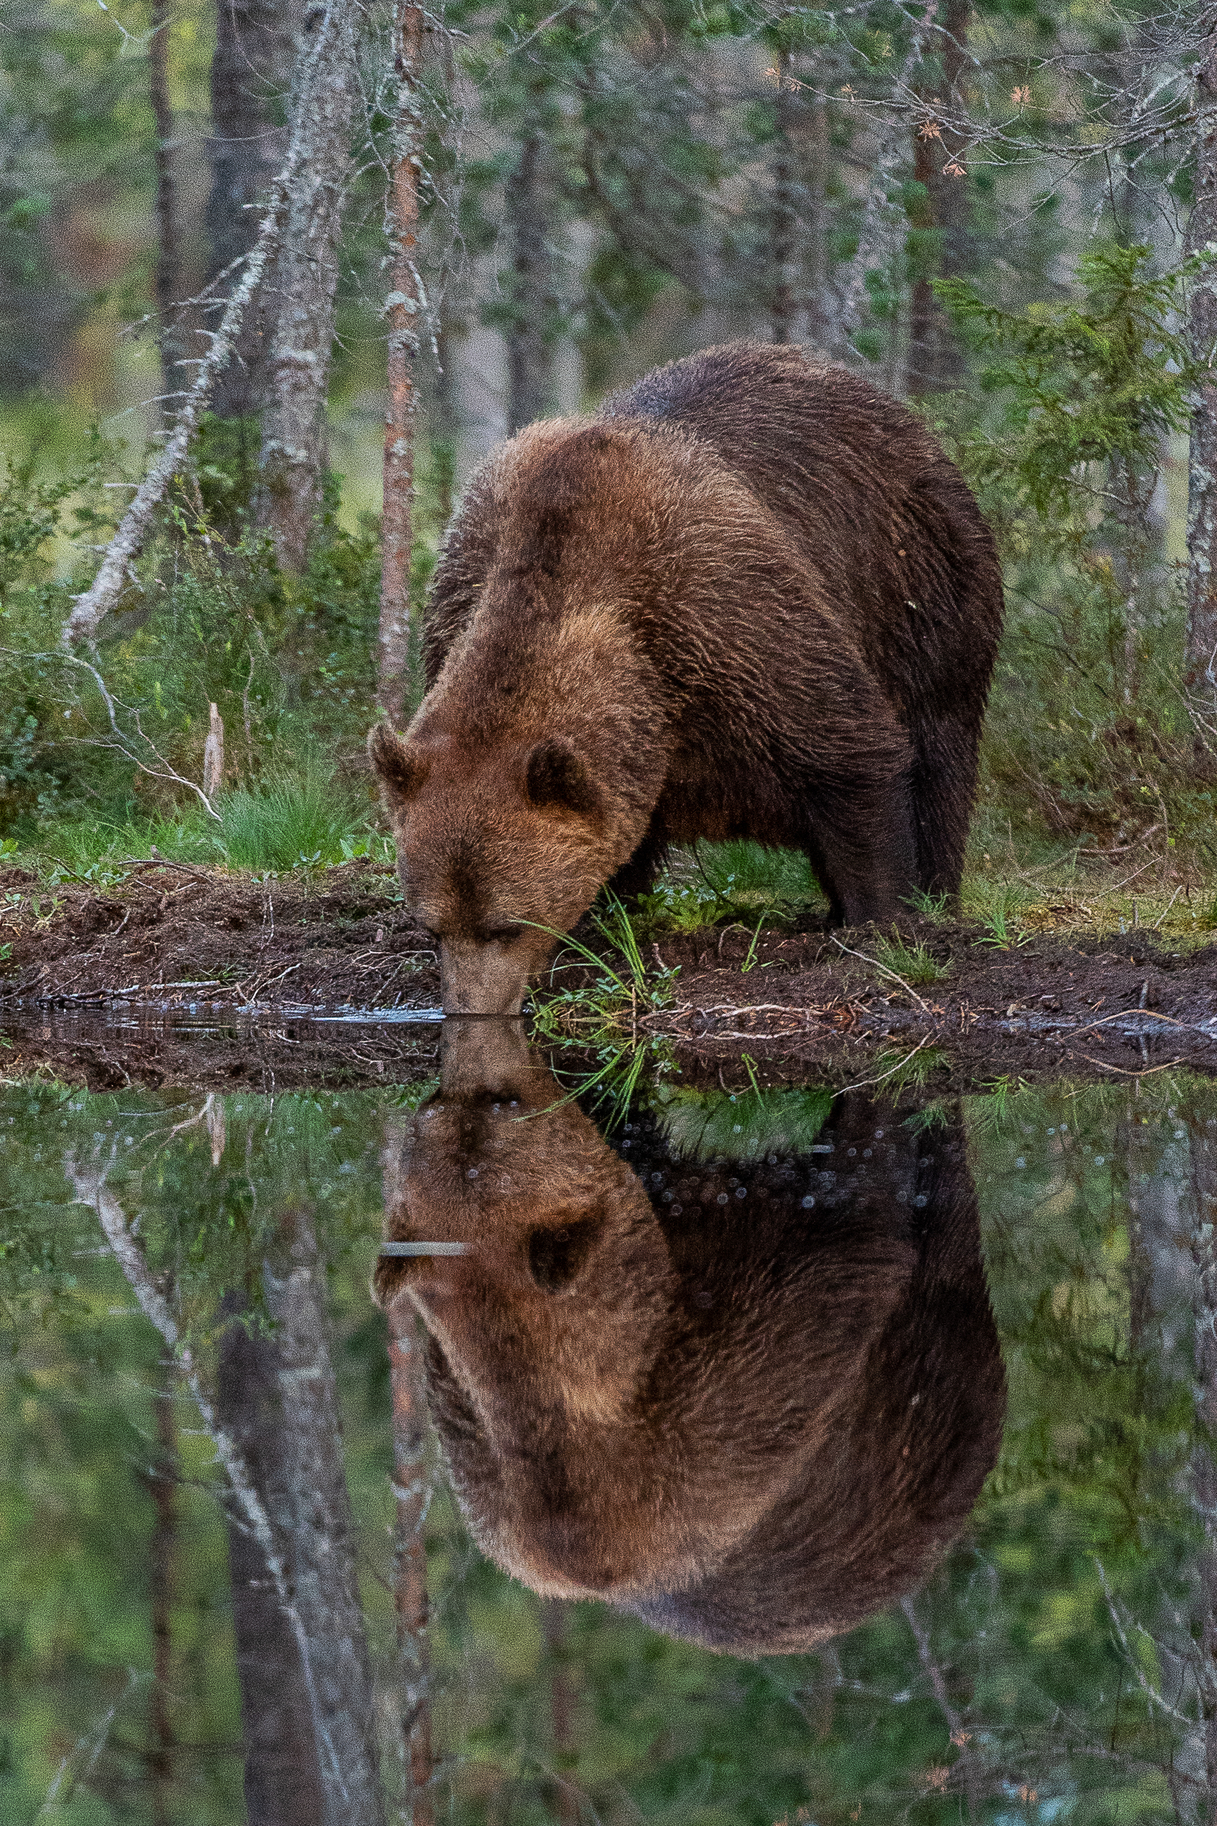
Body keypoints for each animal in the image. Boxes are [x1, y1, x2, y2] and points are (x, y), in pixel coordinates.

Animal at [369, 343, 994, 1015]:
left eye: (505, 925)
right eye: (432, 926)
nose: (474, 1009)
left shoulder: (735, 616)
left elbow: (851, 754)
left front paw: (882, 918)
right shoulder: (465, 592)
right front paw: (603, 915)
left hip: (922, 589)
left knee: (940, 746)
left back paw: (932, 890)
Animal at [374, 1029, 1001, 1658]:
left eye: (459, 1114)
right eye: (494, 1109)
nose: (457, 1070)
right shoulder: (741, 1387)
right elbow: (856, 1220)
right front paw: (876, 1091)